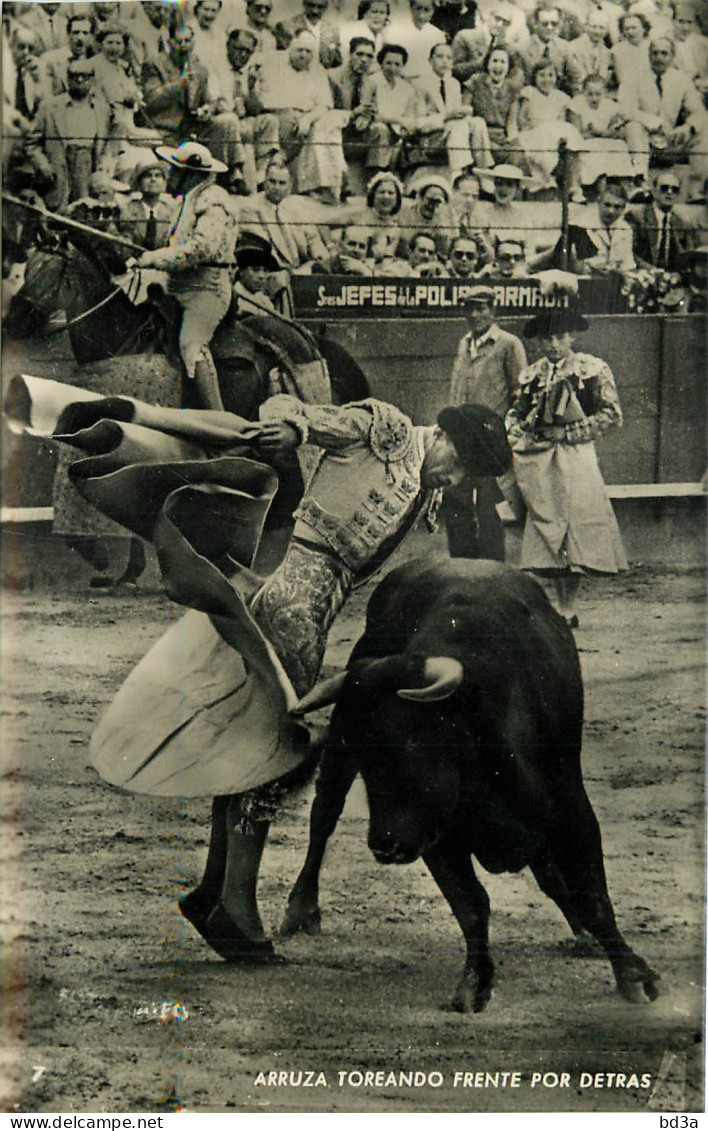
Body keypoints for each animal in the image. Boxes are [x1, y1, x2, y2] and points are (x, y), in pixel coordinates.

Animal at [283, 560, 660, 1013]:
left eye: (413, 740)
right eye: (362, 745)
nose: (386, 846)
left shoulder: (571, 806)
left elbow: (592, 894)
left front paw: (633, 975)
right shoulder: (435, 833)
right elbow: (471, 905)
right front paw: (475, 983)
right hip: (342, 766)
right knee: (324, 814)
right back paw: (301, 908)